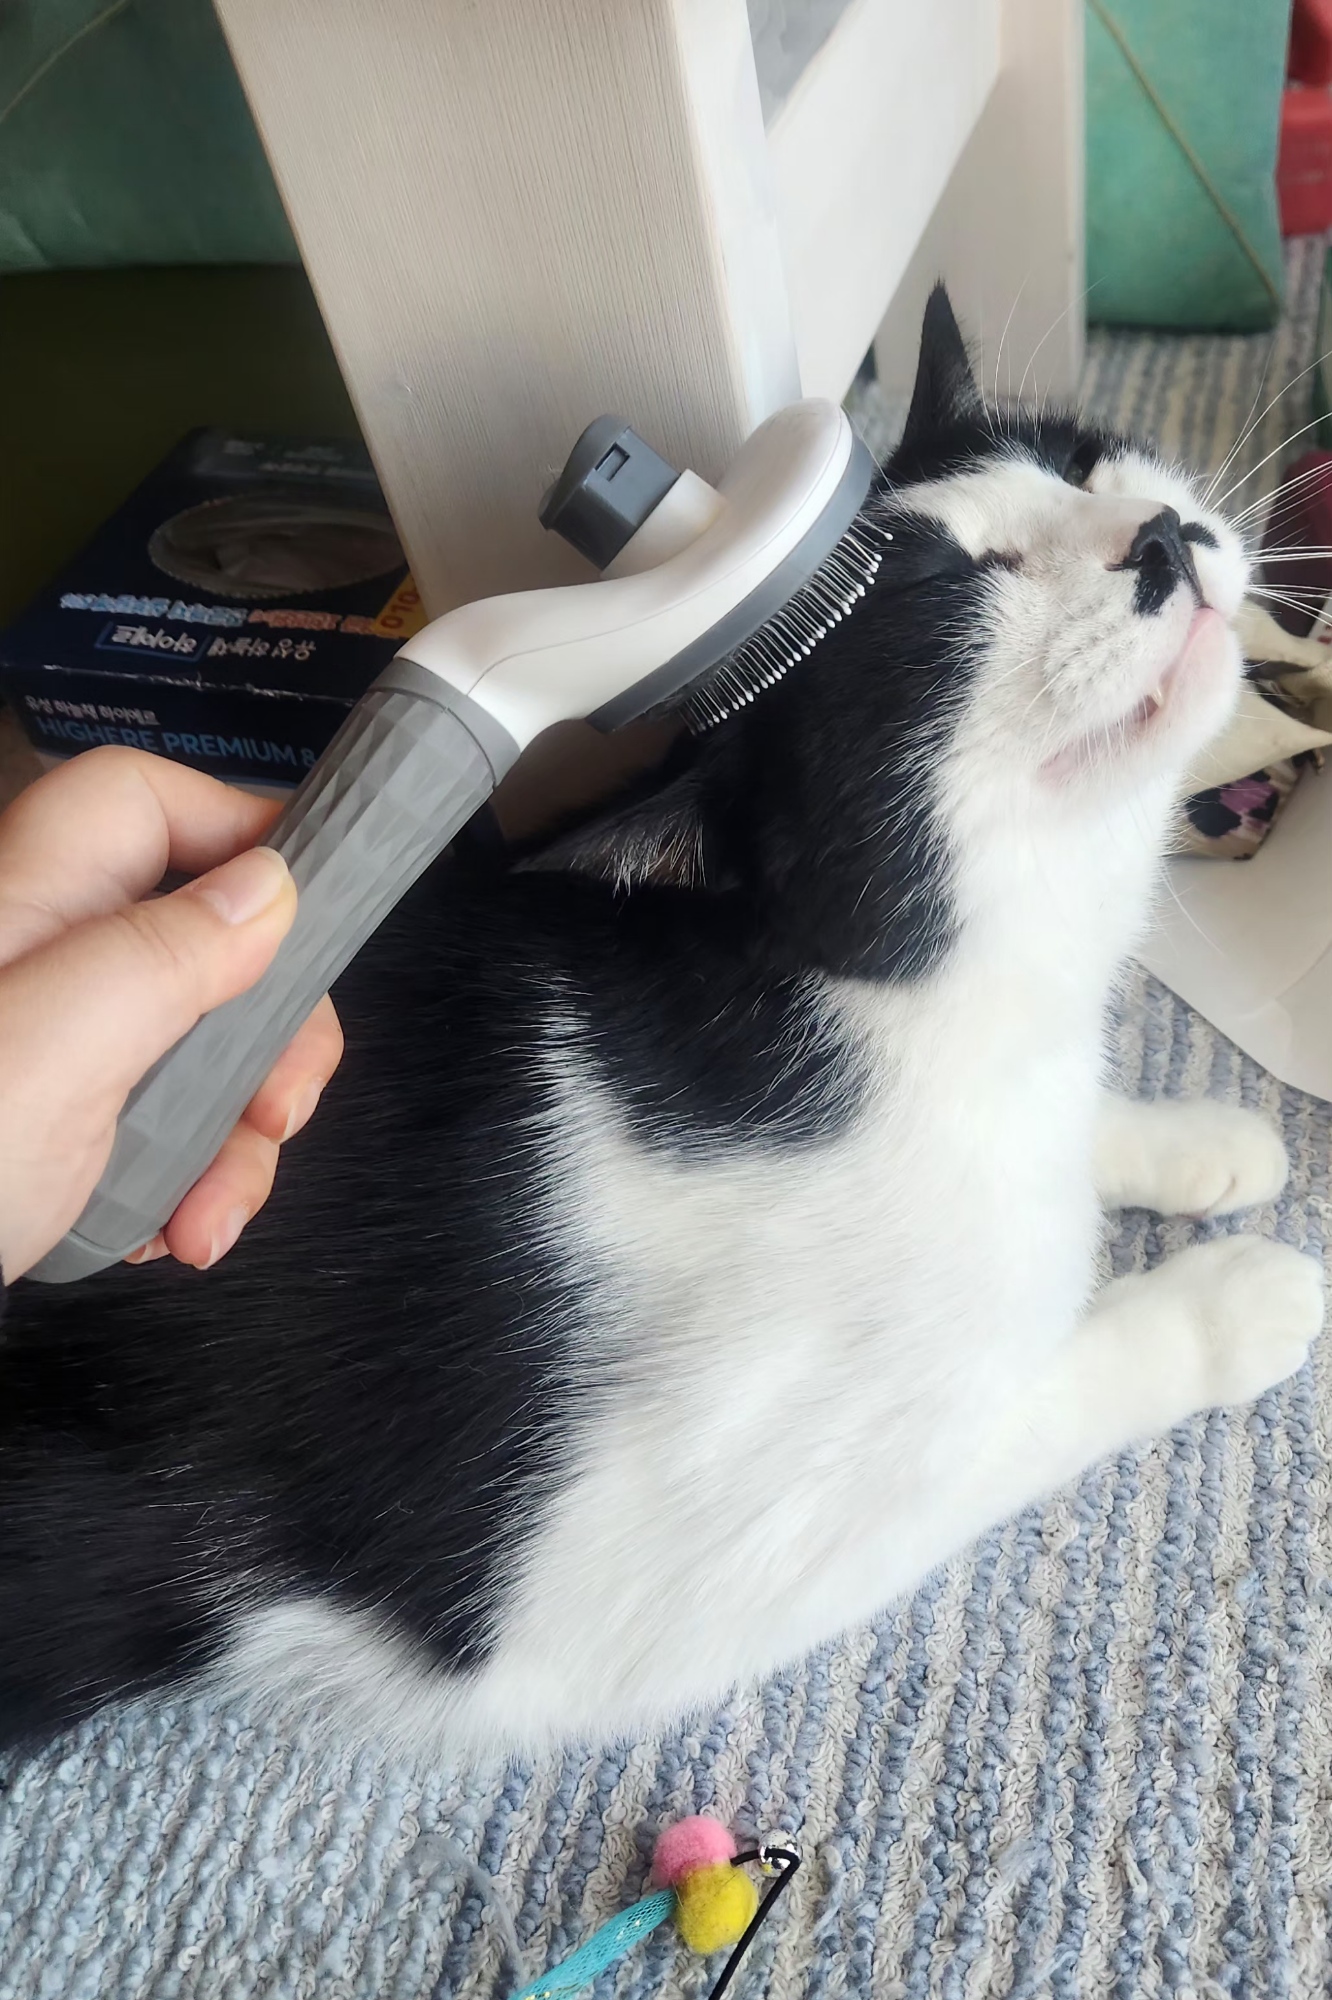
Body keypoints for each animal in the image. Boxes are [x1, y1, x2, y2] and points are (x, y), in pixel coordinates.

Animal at [0, 287, 1322, 1764]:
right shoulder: (634, 1578)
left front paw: (1197, 1143)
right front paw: (1232, 1299)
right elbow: (1035, 1398)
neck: (913, 1020)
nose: (1160, 537)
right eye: (942, 597)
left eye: (1086, 459)